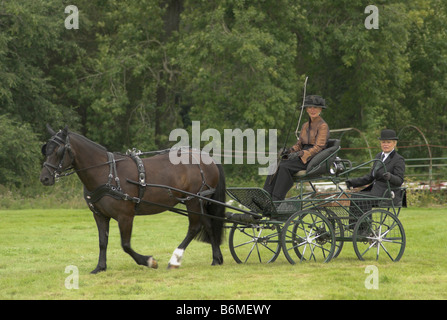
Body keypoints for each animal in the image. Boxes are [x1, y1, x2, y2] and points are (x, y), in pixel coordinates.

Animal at [39, 125, 228, 272]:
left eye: (59, 151)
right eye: (46, 149)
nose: (45, 178)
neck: (106, 172)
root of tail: (206, 158)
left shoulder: (125, 216)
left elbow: (126, 245)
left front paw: (149, 261)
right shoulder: (100, 215)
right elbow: (102, 242)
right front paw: (100, 267)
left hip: (193, 200)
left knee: (195, 227)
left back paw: (175, 259)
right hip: (201, 201)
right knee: (209, 225)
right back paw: (216, 259)